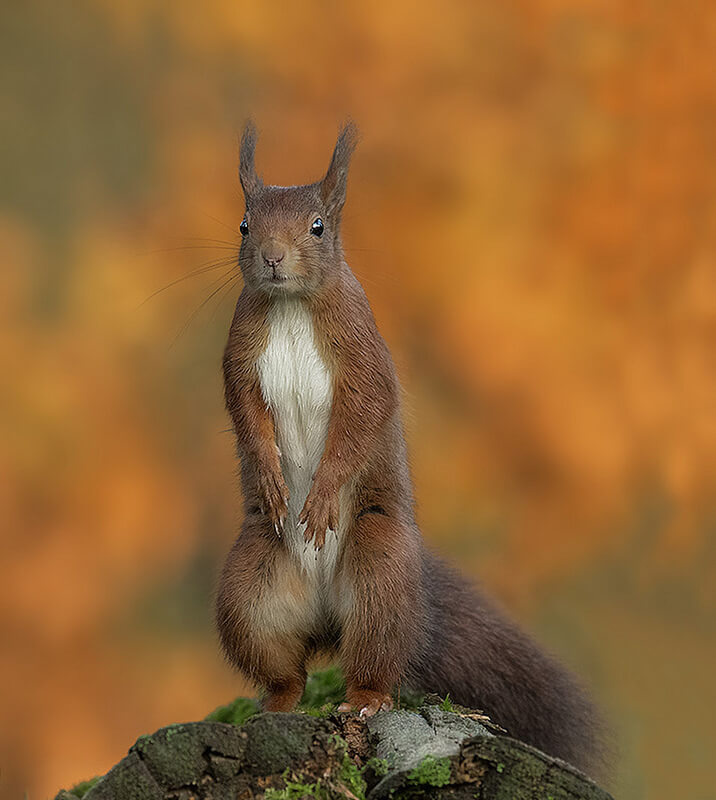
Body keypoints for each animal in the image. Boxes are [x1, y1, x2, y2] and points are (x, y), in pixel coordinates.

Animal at [216, 122, 603, 777]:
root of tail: (326, 617)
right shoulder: (241, 353)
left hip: (380, 567)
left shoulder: (363, 351)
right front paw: (270, 475)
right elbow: (244, 411)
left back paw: (366, 700)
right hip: (250, 591)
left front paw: (321, 495)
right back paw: (277, 705)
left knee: (376, 663)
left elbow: (362, 416)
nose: (271, 257)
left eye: (318, 226)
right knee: (286, 668)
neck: (291, 307)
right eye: (245, 224)